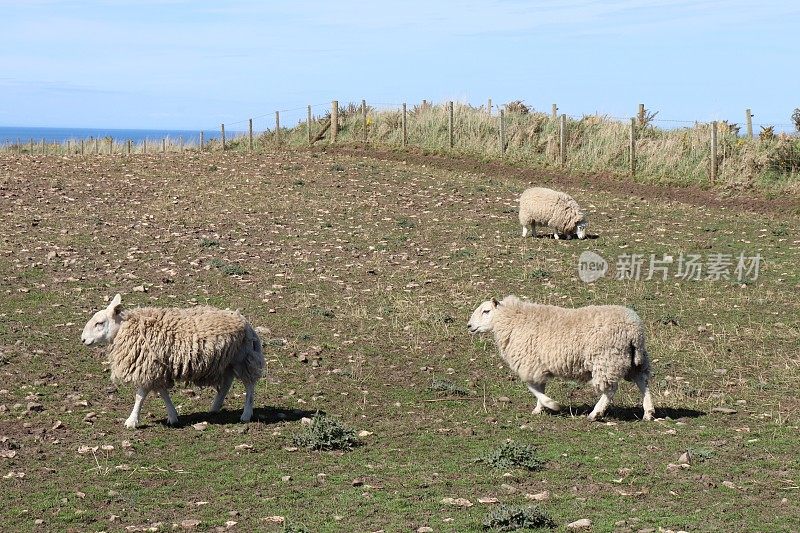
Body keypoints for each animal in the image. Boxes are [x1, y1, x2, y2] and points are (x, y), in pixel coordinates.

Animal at [83, 296, 268, 428]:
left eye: (99, 323)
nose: (83, 339)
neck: (124, 329)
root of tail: (246, 322)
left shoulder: (148, 366)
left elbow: (140, 396)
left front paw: (131, 421)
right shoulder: (158, 367)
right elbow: (163, 392)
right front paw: (172, 416)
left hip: (243, 358)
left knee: (249, 385)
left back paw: (246, 414)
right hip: (228, 360)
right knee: (227, 383)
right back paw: (215, 407)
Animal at [466, 296, 652, 420]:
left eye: (486, 311)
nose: (469, 326)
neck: (512, 320)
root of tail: (634, 330)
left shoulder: (531, 364)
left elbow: (532, 388)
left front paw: (551, 404)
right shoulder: (539, 365)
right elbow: (538, 388)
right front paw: (539, 409)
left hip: (607, 360)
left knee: (611, 389)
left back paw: (595, 413)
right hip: (634, 360)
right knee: (642, 381)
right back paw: (648, 412)